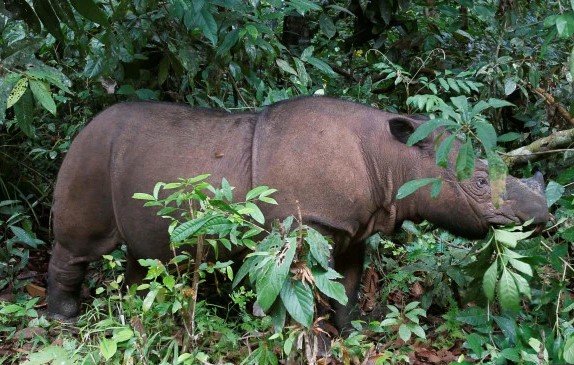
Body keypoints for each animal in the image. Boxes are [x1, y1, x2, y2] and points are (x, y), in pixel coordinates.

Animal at [47, 96, 552, 328]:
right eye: (481, 183)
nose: (543, 214)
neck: (393, 160)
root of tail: (85, 127)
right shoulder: (308, 223)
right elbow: (296, 291)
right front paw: (309, 338)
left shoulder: (352, 225)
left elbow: (347, 285)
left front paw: (350, 332)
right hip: (90, 154)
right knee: (77, 246)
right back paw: (64, 321)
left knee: (147, 256)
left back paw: (137, 318)